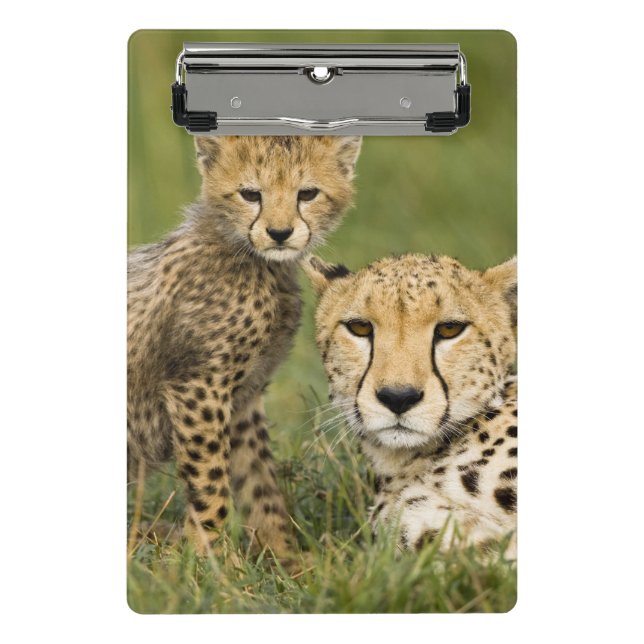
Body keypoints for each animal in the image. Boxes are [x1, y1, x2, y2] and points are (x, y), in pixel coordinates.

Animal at [128, 135, 361, 557]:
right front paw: (212, 562)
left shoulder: (243, 397)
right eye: (251, 194)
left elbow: (260, 483)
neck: (255, 263)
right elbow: (211, 483)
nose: (280, 233)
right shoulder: (199, 388)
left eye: (307, 193)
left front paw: (286, 558)